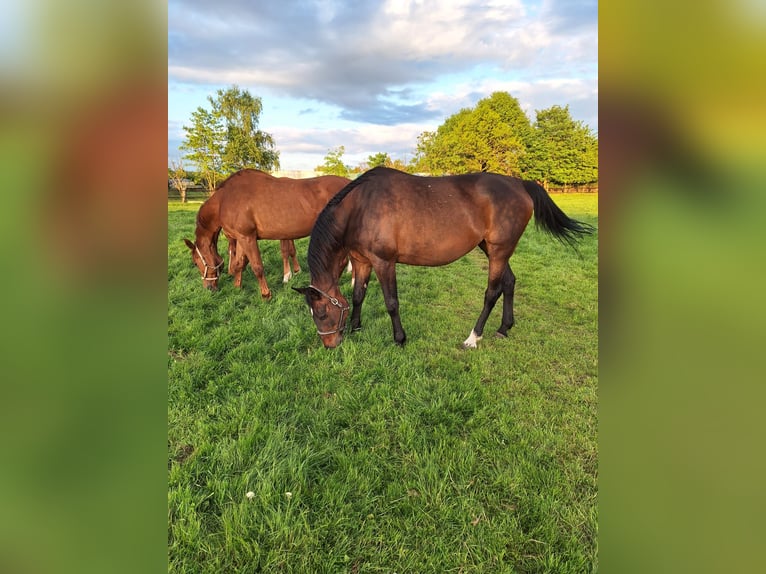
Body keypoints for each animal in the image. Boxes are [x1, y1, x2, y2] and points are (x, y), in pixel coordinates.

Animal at [183, 169, 350, 297]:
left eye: (195, 262)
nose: (208, 288)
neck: (225, 200)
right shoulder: (241, 237)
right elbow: (239, 263)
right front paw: (237, 286)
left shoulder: (248, 238)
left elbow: (257, 266)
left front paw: (266, 294)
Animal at [294, 166, 594, 349]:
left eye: (321, 312)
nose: (330, 345)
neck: (360, 207)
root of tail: (520, 184)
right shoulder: (362, 261)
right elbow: (358, 295)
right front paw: (356, 327)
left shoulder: (384, 262)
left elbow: (391, 303)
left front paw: (399, 339)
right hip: (492, 248)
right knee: (509, 282)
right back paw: (504, 328)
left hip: (499, 250)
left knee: (492, 292)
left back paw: (474, 337)